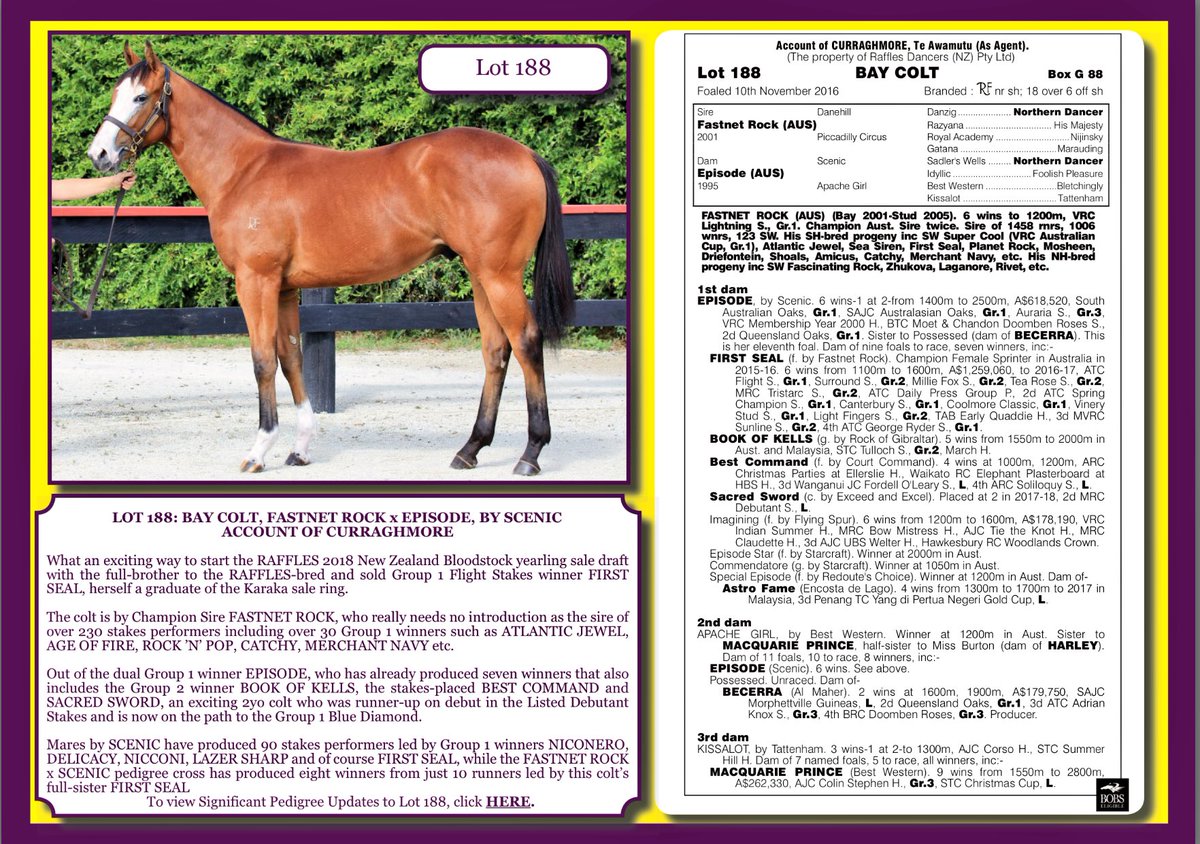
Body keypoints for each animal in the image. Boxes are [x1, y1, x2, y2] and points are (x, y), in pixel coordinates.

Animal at [86, 42, 574, 476]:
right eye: (114, 94)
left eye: (141, 97)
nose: (100, 155)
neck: (244, 170)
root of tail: (526, 154)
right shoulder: (284, 288)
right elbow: (290, 358)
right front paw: (299, 449)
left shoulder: (256, 281)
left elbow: (262, 360)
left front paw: (259, 451)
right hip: (479, 274)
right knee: (495, 350)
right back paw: (470, 449)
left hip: (499, 275)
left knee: (526, 343)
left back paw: (530, 454)